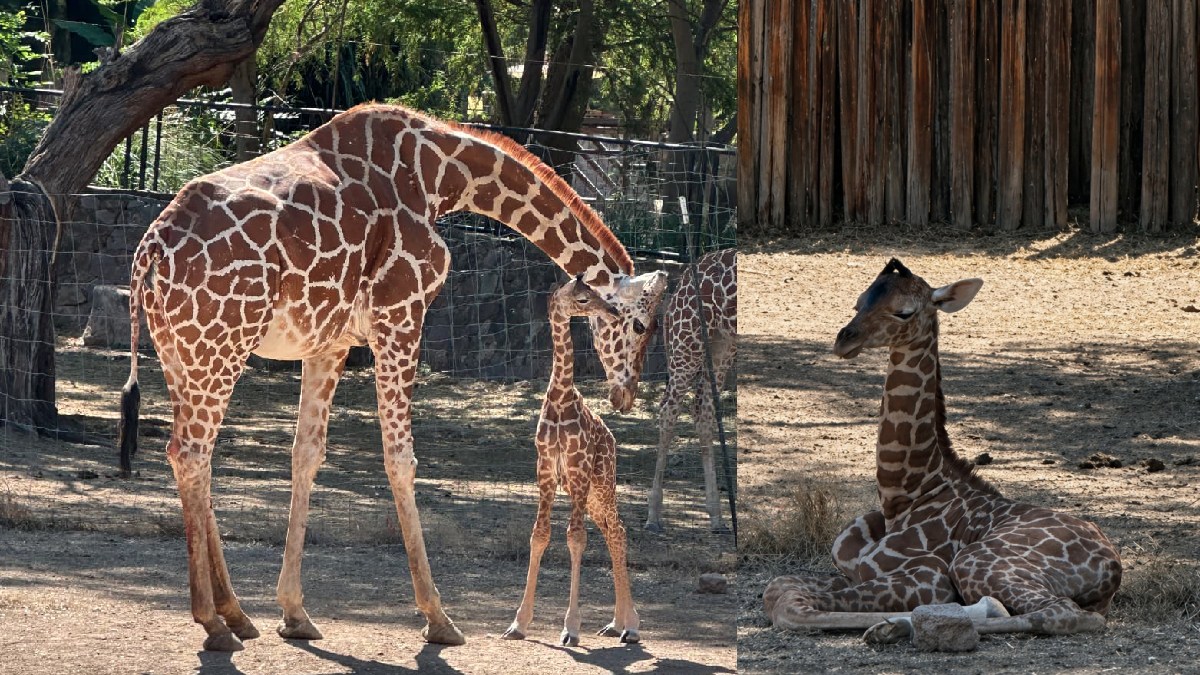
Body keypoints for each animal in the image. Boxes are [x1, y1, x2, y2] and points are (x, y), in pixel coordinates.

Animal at [501, 275, 643, 647]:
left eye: (595, 293)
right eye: (582, 298)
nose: (611, 311)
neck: (560, 397)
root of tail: (612, 439)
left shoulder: (577, 469)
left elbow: (575, 538)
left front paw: (571, 627)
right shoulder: (546, 470)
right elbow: (539, 535)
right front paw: (518, 623)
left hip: (602, 482)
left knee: (618, 531)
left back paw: (632, 626)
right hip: (589, 494)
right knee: (612, 531)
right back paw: (616, 624)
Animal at [645, 248, 736, 533]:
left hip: (720, 344)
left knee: (702, 410)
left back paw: (717, 516)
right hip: (688, 343)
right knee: (669, 408)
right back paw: (653, 515)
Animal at [763, 258, 1122, 644]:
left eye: (904, 312)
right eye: (858, 302)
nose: (845, 340)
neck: (903, 496)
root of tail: (1112, 568)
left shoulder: (929, 576)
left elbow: (789, 606)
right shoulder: (852, 569)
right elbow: (777, 587)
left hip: (977, 561)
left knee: (1063, 612)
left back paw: (892, 627)